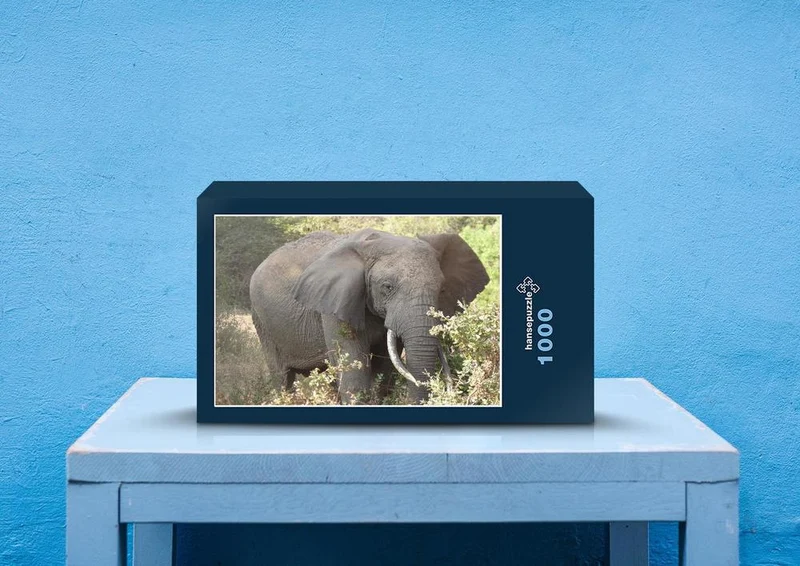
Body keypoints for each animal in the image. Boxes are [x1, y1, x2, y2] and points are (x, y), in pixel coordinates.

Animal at [249, 228, 490, 404]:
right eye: (387, 287)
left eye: (442, 289)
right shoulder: (335, 303)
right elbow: (354, 369)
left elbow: (385, 364)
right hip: (261, 320)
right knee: (282, 377)